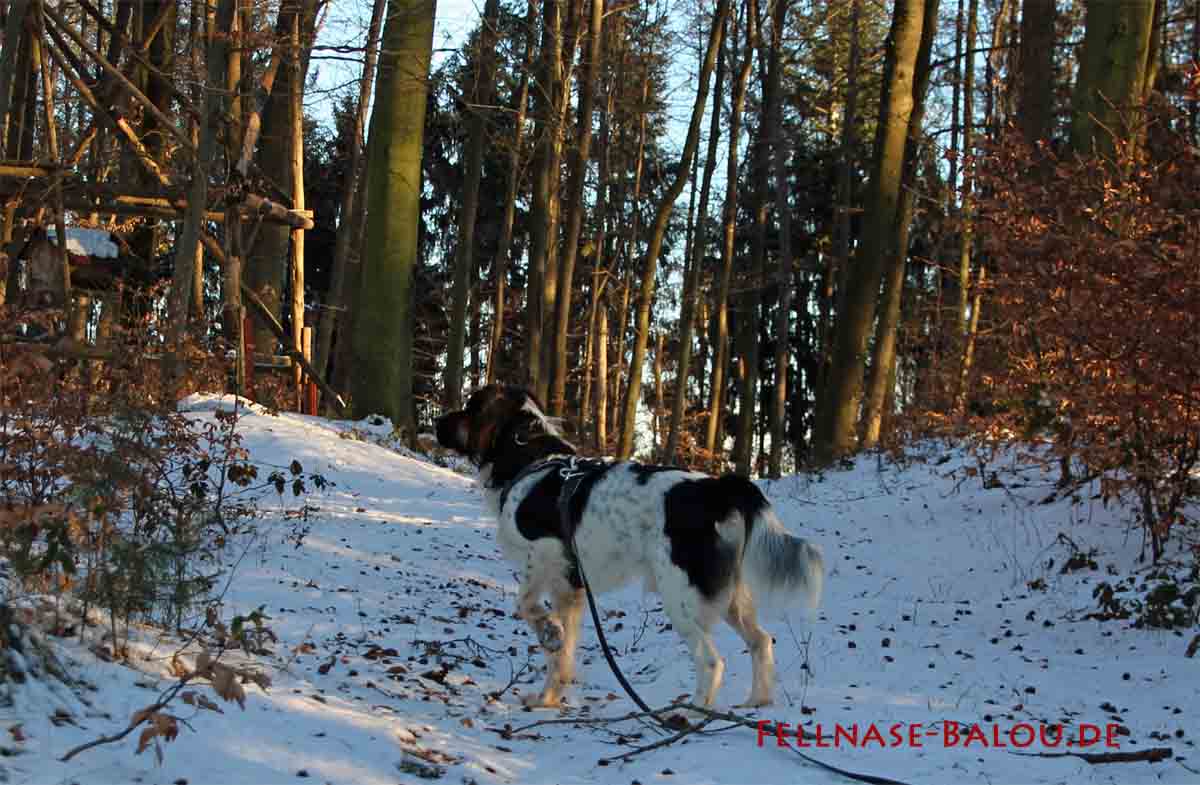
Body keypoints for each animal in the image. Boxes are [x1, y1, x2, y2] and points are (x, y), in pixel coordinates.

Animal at [436, 386, 820, 715]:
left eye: (470, 407)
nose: (437, 421)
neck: (530, 459)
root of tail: (717, 489)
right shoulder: (571, 588)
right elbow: (562, 656)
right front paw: (548, 698)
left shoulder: (545, 554)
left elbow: (527, 607)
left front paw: (549, 634)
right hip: (729, 596)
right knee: (761, 641)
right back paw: (757, 701)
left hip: (681, 596)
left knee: (712, 660)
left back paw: (690, 712)